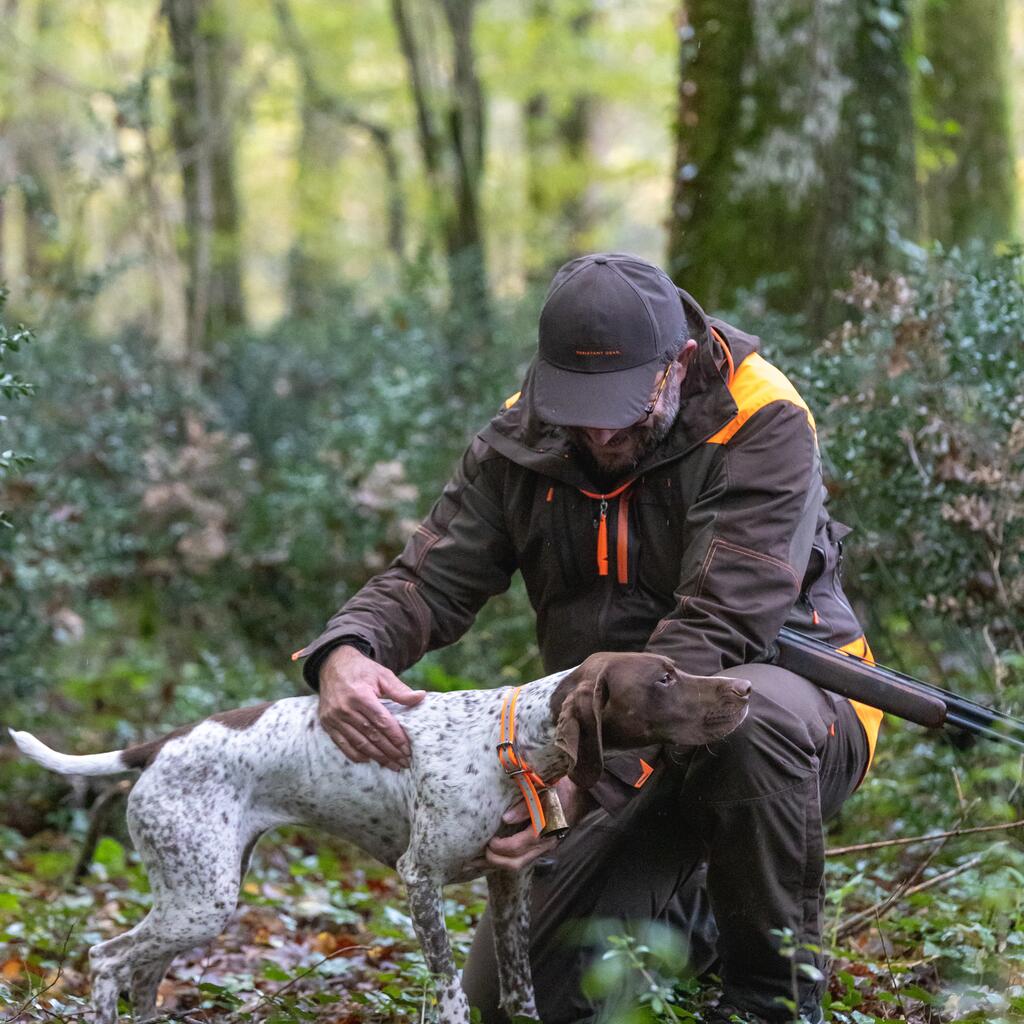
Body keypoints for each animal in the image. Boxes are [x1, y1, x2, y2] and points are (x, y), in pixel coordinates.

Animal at [9, 651, 753, 1024]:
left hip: (195, 892)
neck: (510, 742)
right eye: (664, 678)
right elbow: (450, 989)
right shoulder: (418, 879)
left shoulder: (508, 884)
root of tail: (158, 745)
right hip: (202, 899)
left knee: (142, 970)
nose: (744, 689)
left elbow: (519, 992)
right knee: (108, 959)